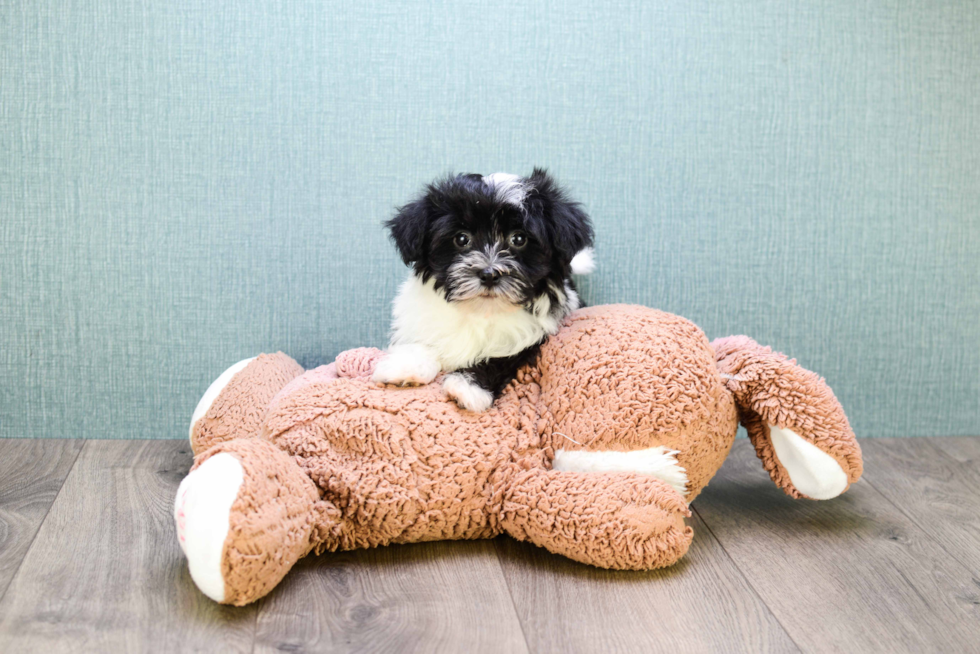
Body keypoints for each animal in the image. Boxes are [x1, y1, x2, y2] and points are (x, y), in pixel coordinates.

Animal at [372, 172, 592, 412]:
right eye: (461, 238)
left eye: (518, 239)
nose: (489, 274)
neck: (481, 310)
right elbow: (423, 340)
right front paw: (406, 366)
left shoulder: (535, 335)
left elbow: (501, 358)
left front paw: (468, 386)